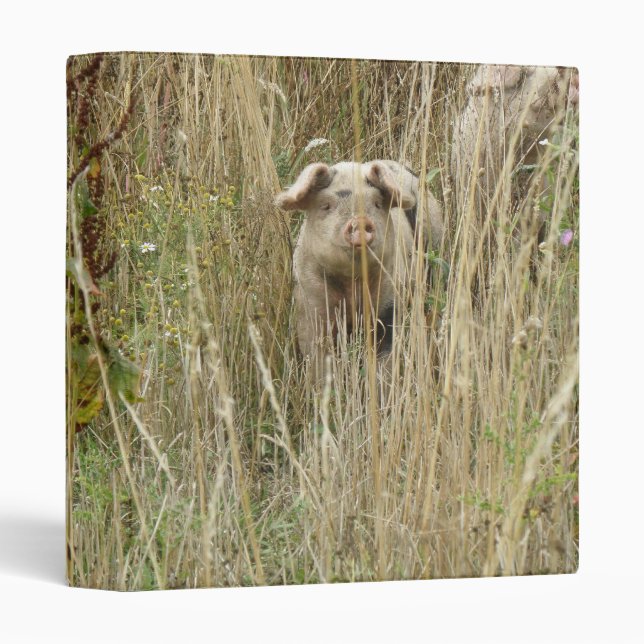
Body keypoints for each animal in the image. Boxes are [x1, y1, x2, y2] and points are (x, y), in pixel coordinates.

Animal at [276, 160, 443, 382]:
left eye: (377, 204)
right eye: (326, 205)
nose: (361, 221)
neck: (351, 284)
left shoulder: (389, 301)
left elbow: (384, 359)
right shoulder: (310, 304)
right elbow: (318, 359)